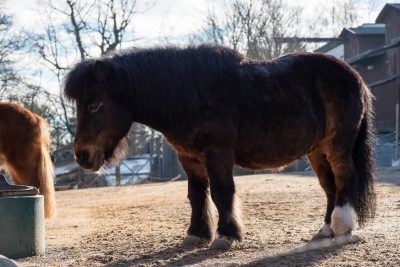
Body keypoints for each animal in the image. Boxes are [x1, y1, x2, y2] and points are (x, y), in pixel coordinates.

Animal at [63, 45, 376, 250]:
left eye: (94, 104)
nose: (82, 155)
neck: (191, 95)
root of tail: (356, 78)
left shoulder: (217, 153)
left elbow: (222, 192)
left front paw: (227, 235)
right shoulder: (189, 157)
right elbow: (197, 195)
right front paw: (197, 234)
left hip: (336, 146)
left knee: (345, 177)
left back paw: (342, 226)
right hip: (316, 151)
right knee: (330, 187)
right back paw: (325, 230)